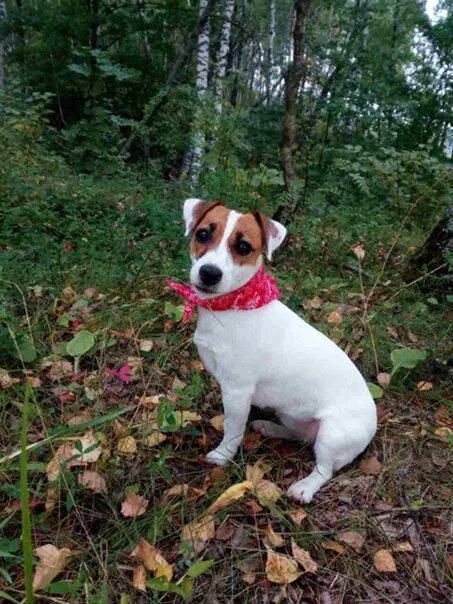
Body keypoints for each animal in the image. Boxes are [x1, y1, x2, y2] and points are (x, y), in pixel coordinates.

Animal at [171, 198, 377, 503]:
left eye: (244, 247)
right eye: (203, 234)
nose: (209, 273)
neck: (232, 307)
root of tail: (375, 421)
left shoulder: (237, 390)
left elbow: (233, 428)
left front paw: (223, 455)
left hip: (332, 434)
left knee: (324, 469)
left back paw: (304, 487)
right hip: (293, 415)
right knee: (298, 434)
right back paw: (269, 428)